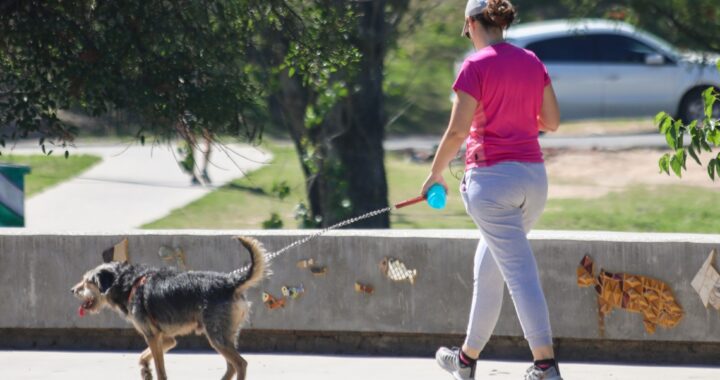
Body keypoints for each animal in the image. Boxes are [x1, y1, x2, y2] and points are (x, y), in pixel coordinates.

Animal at [71, 238, 268, 380]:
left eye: (87, 281)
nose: (72, 290)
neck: (127, 282)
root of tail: (231, 282)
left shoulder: (151, 336)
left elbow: (160, 370)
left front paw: (152, 372)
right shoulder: (166, 339)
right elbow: (143, 356)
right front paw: (145, 371)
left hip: (217, 336)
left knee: (240, 364)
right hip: (225, 335)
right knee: (231, 366)